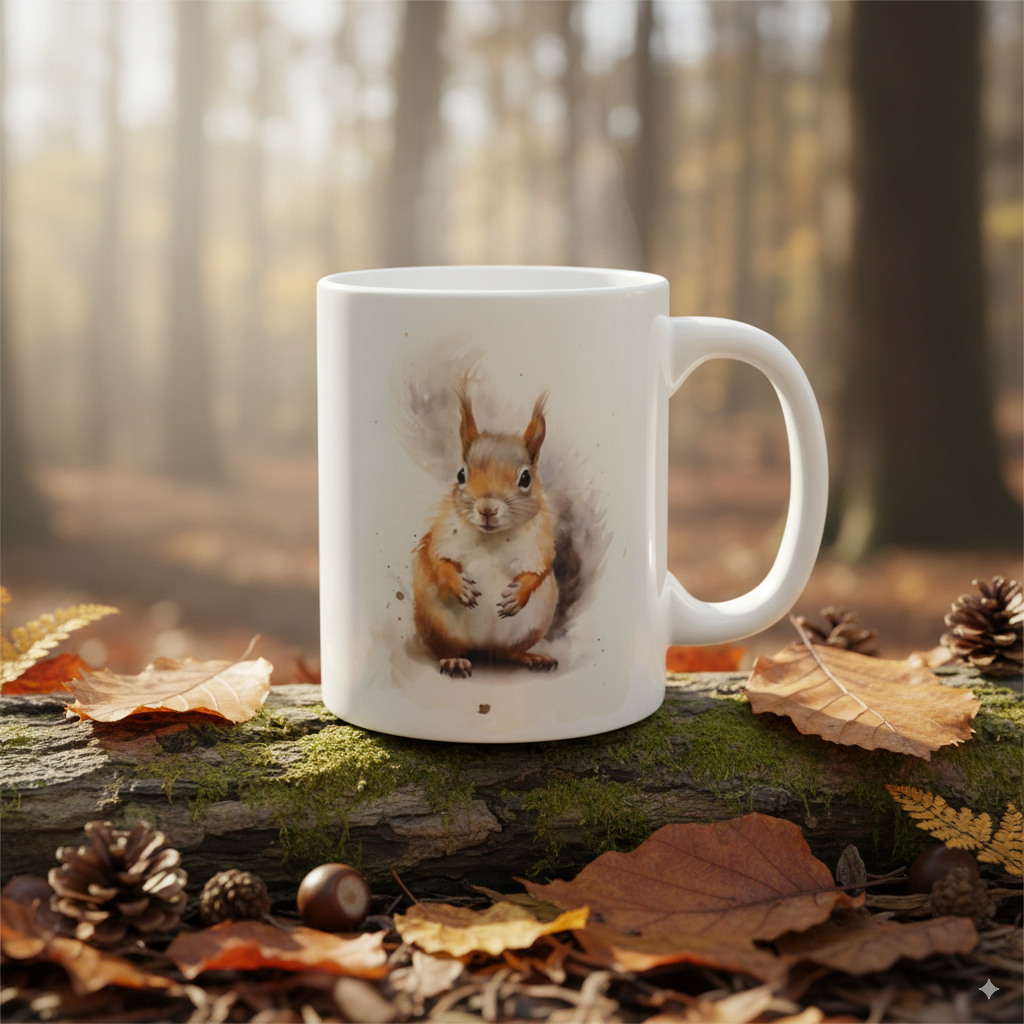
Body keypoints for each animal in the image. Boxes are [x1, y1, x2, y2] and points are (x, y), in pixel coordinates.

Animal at [412, 388, 559, 678]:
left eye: (526, 478)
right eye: (461, 474)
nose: (487, 509)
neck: (493, 538)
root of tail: (484, 647)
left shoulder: (541, 546)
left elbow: (539, 571)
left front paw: (517, 596)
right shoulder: (441, 536)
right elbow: (440, 561)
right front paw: (461, 587)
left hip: (534, 623)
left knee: (511, 652)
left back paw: (532, 657)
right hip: (436, 622)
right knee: (447, 648)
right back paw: (454, 660)